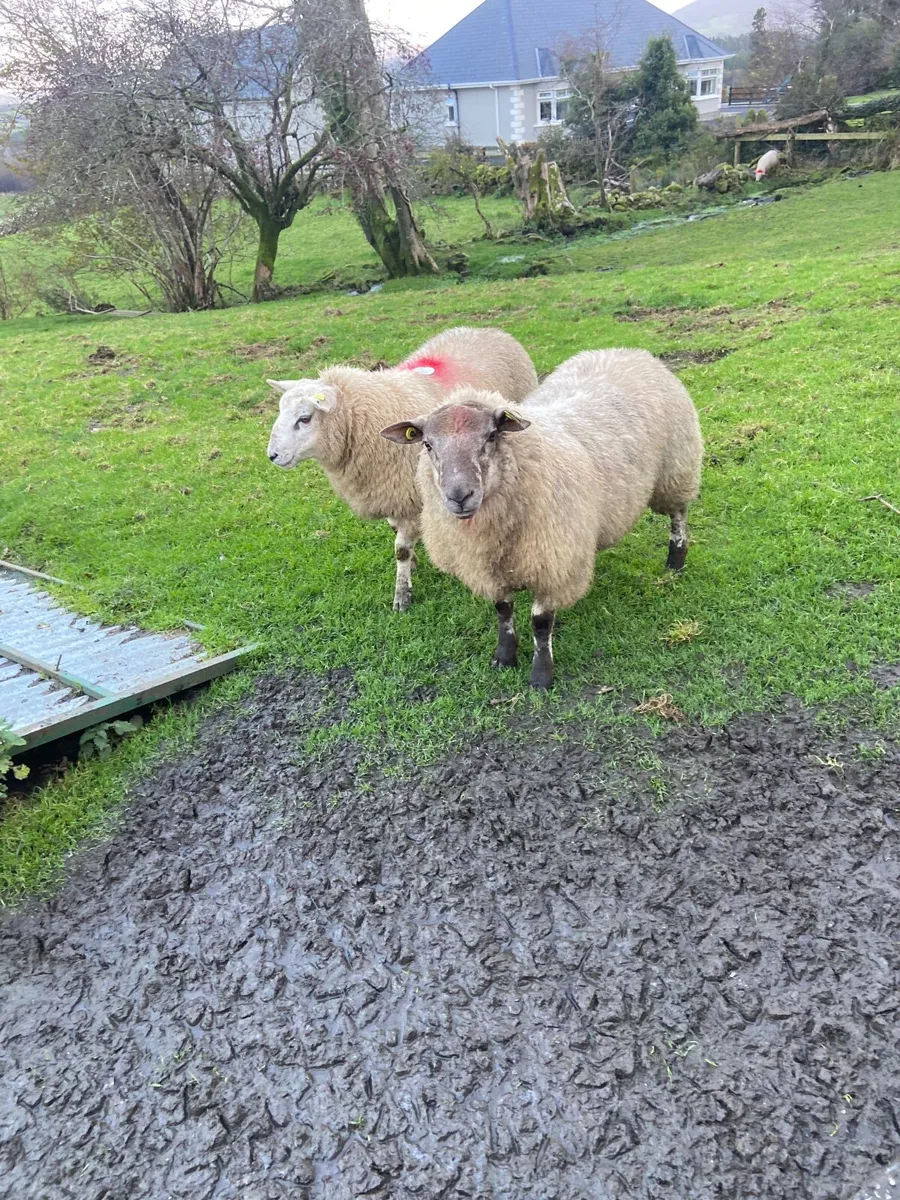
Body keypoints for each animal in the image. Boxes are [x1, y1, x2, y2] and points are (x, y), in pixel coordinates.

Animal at [266, 327, 538, 611]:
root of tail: (487, 330)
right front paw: (414, 562)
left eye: (305, 418)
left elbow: (401, 549)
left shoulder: (408, 493)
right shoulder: (390, 492)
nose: (272, 456)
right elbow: (396, 531)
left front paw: (402, 594)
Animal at [381, 348, 702, 688]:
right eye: (427, 444)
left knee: (679, 516)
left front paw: (541, 675)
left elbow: (541, 623)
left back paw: (676, 560)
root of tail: (626, 352)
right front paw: (504, 655)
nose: (459, 496)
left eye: (491, 436)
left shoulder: (552, 562)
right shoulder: (492, 567)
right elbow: (503, 610)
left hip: (676, 470)